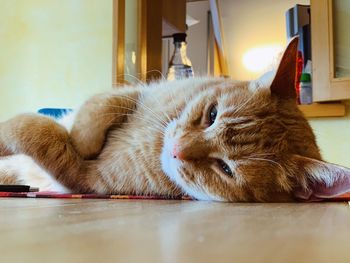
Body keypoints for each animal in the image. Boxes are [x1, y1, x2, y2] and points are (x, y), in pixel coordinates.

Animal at [0, 37, 350, 202]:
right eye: (212, 114)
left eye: (225, 168)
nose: (177, 149)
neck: (153, 142)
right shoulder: (139, 91)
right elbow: (99, 106)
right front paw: (82, 136)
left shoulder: (79, 177)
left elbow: (38, 132)